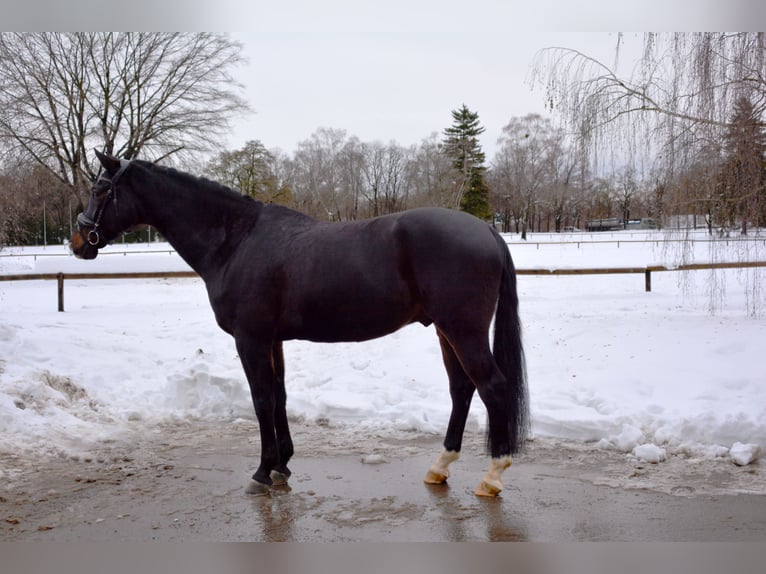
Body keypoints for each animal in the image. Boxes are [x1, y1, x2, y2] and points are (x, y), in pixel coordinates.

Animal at [72, 151, 528, 498]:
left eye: (100, 190)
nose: (78, 242)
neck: (236, 240)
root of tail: (487, 229)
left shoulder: (251, 340)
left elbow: (261, 400)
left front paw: (261, 472)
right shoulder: (272, 340)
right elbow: (279, 396)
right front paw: (282, 467)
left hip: (463, 330)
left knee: (492, 387)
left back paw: (493, 475)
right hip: (445, 330)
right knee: (462, 388)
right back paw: (440, 466)